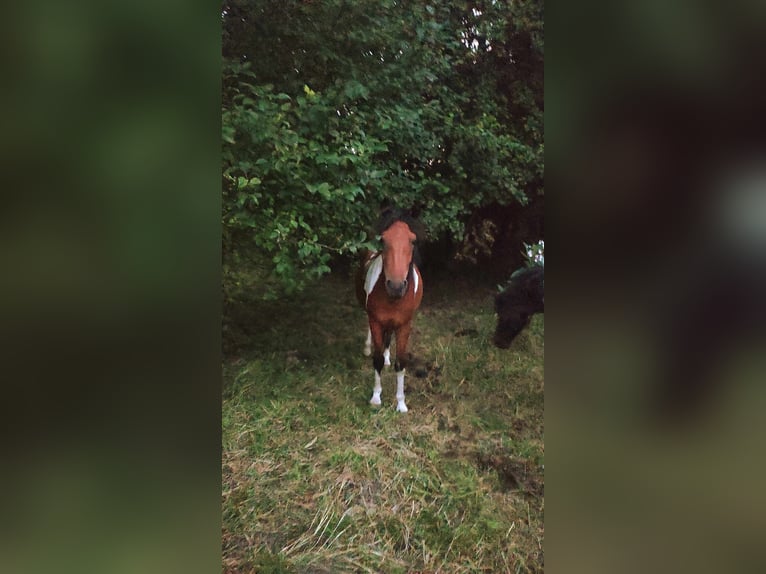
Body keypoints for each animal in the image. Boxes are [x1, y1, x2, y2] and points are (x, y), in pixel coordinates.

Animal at [356, 209, 426, 412]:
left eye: (413, 240)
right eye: (384, 240)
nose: (396, 286)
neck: (394, 299)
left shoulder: (404, 325)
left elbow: (401, 362)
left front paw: (401, 403)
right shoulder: (376, 321)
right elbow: (377, 359)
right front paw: (376, 397)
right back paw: (367, 348)